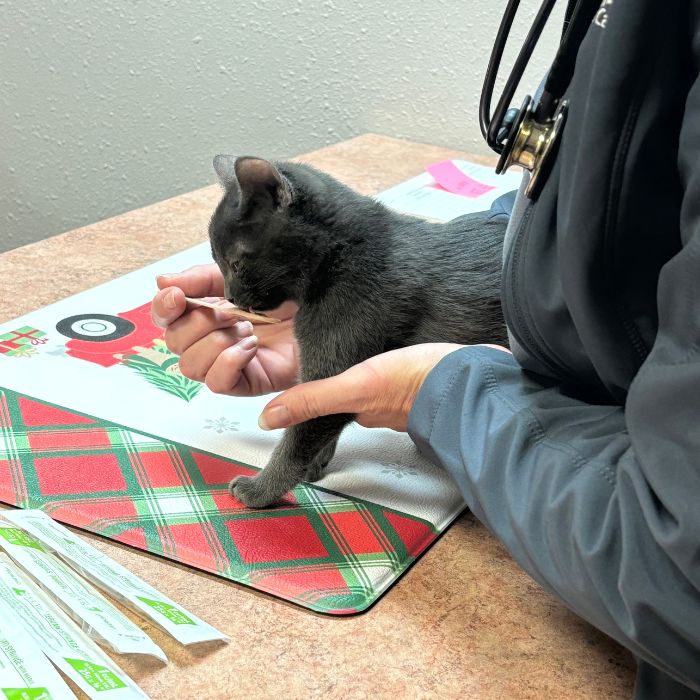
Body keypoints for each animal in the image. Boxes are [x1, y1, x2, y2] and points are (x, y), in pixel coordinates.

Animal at [205, 154, 506, 508]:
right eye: (217, 261)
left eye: (236, 263)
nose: (229, 297)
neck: (340, 258)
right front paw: (318, 463)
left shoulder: (333, 366)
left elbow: (296, 443)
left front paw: (260, 489)